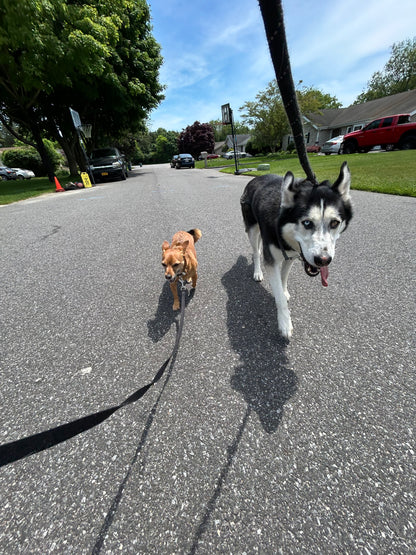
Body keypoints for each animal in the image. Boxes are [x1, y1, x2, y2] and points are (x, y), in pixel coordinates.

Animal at [239, 162, 352, 338]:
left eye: (334, 223)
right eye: (307, 222)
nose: (323, 260)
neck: (281, 228)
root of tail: (256, 178)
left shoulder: (291, 256)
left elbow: (283, 278)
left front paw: (283, 291)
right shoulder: (271, 260)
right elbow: (279, 295)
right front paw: (285, 323)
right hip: (252, 229)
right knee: (256, 252)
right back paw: (257, 272)